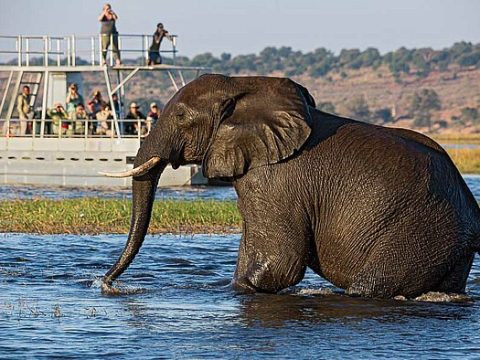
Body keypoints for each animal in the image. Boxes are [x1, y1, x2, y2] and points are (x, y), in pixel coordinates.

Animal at [101, 72, 480, 298]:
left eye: (180, 116)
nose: (106, 284)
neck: (242, 85)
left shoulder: (274, 178)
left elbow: (279, 262)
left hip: (423, 230)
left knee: (368, 286)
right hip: (447, 245)